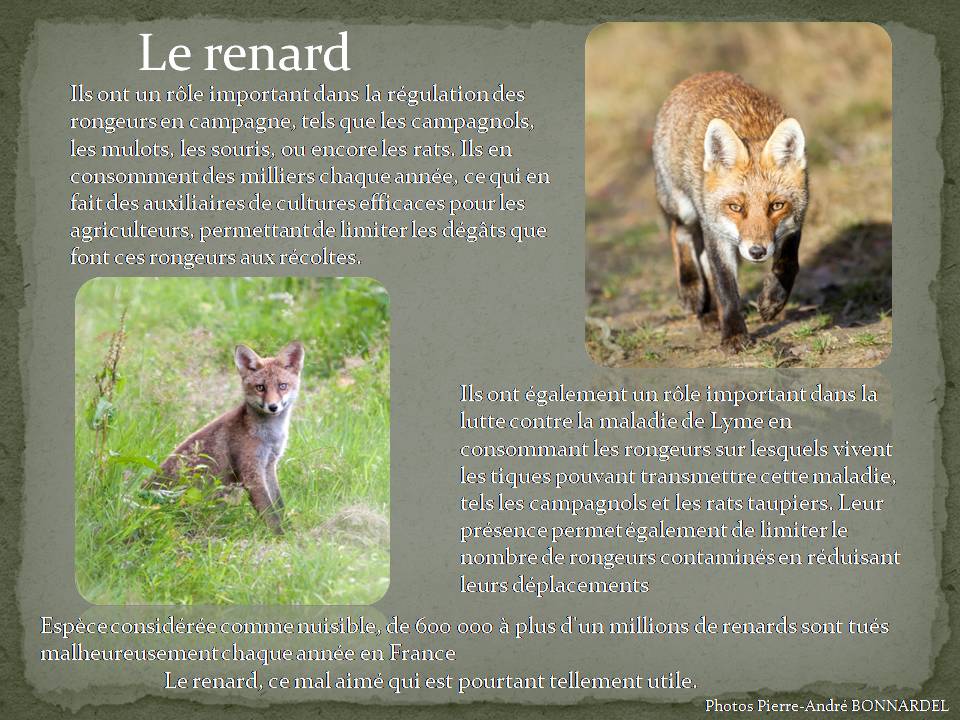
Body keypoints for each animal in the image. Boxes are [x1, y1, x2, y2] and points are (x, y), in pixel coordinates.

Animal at [146, 341, 305, 534]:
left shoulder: (269, 466)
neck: (269, 436)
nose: (273, 406)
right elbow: (270, 513)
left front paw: (290, 530)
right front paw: (280, 536)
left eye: (282, 386)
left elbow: (279, 505)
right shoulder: (251, 472)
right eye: (260, 387)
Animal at [652, 71, 809, 351]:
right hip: (684, 208)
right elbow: (726, 288)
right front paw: (734, 334)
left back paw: (709, 314)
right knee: (679, 233)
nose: (757, 252)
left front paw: (772, 301)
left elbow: (788, 264)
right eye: (736, 207)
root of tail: (700, 75)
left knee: (702, 258)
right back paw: (692, 290)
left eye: (776, 206)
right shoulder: (718, 235)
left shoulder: (794, 225)